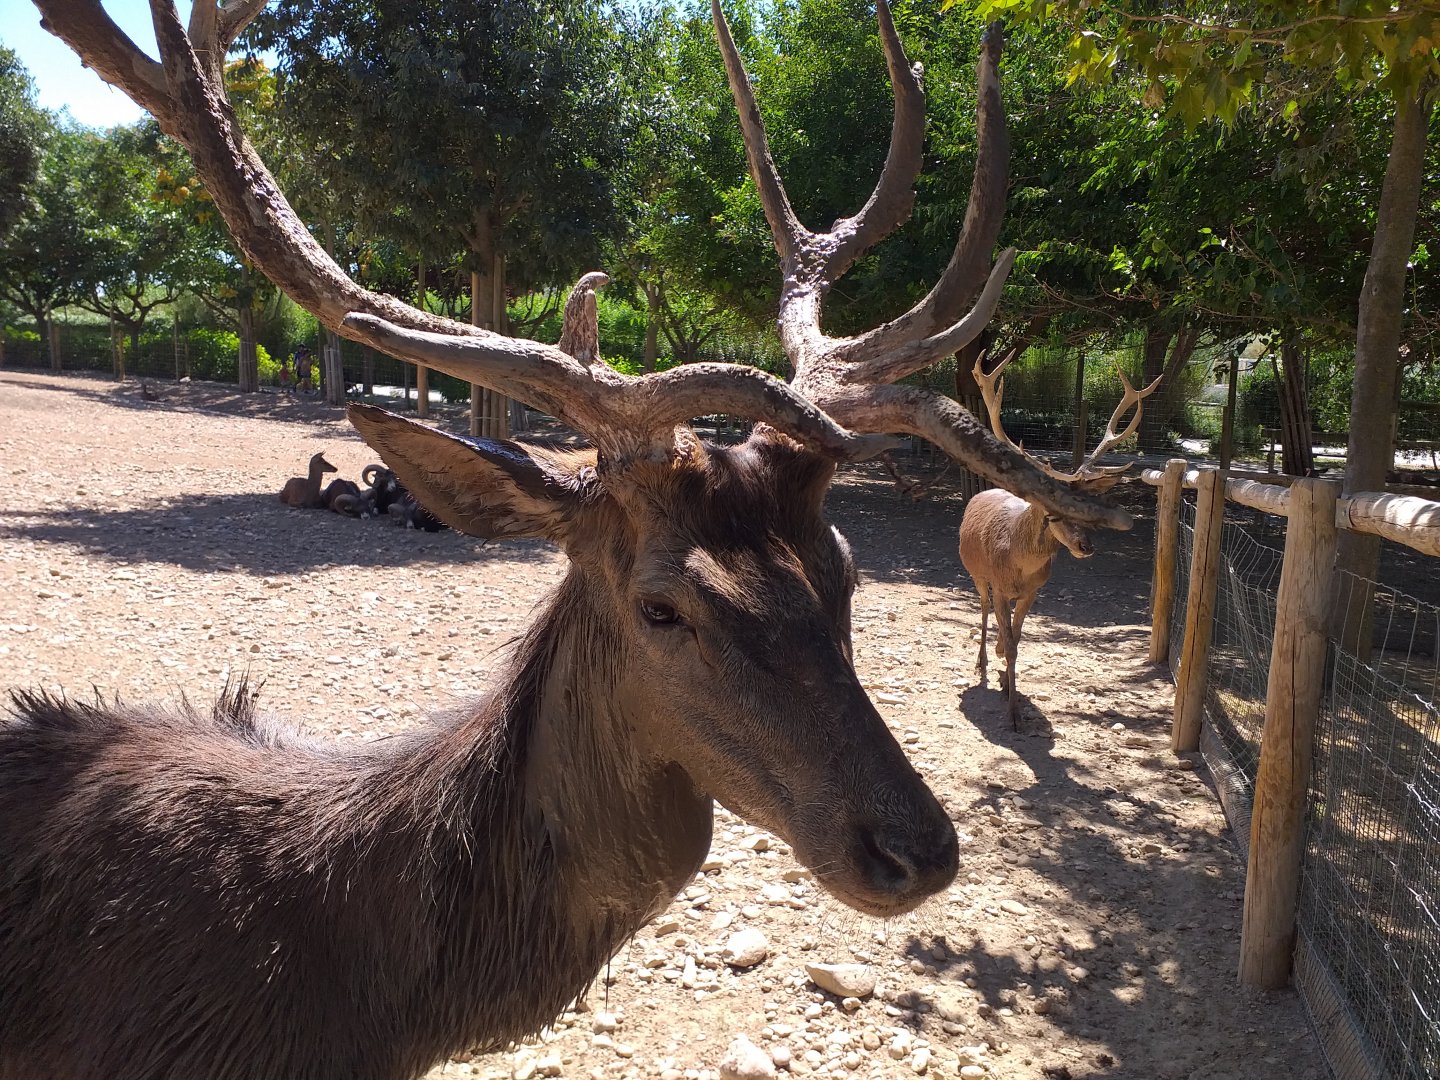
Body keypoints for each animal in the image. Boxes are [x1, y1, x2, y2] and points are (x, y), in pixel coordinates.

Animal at [958, 349, 1160, 729]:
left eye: (1086, 508)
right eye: (1053, 512)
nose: (1086, 547)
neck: (1019, 568)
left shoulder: (1034, 590)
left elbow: (1018, 638)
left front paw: (1009, 685)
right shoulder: (1000, 584)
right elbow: (1010, 642)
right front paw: (1013, 715)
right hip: (976, 572)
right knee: (982, 606)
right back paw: (982, 661)